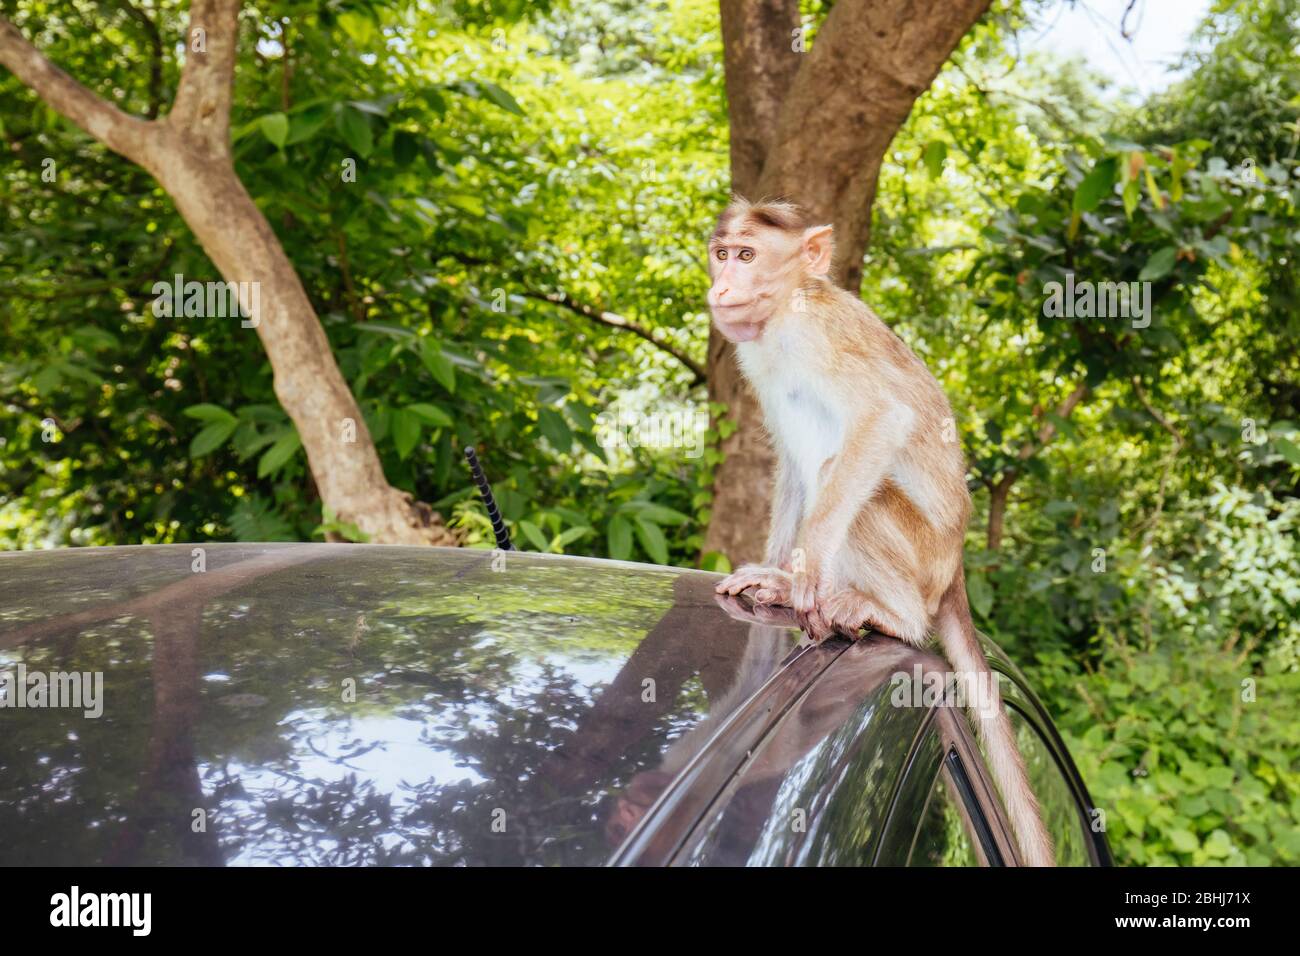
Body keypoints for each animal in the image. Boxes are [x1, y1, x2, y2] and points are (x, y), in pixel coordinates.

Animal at [702, 196, 1055, 868]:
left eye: (748, 255)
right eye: (723, 252)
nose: (722, 283)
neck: (784, 312)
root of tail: (956, 566)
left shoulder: (817, 336)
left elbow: (882, 418)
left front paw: (803, 578)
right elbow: (790, 462)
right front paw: (777, 574)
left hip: (922, 555)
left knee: (854, 492)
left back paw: (891, 614)